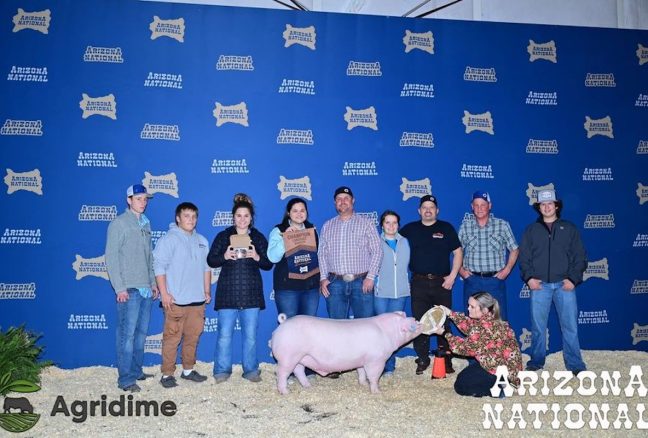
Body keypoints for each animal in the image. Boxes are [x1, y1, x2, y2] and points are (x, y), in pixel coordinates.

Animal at [270, 310, 422, 396]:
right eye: (413, 323)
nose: (418, 321)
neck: (387, 332)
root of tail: (283, 323)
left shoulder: (362, 360)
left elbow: (361, 372)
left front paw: (363, 384)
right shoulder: (376, 360)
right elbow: (374, 376)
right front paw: (377, 392)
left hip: (300, 357)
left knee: (299, 371)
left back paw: (308, 386)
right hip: (288, 357)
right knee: (282, 373)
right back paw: (285, 392)